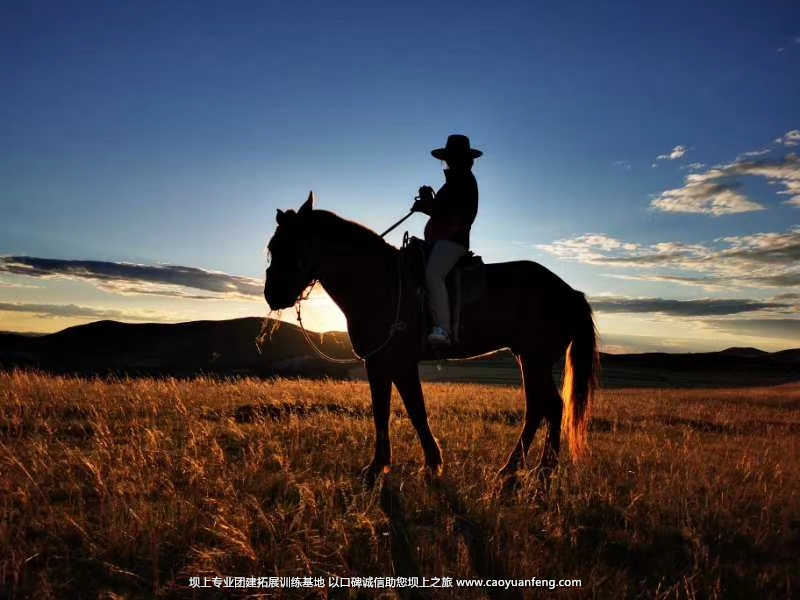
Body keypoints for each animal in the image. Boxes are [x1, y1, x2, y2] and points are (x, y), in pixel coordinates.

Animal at [266, 193, 596, 488]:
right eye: (272, 247)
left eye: (289, 245)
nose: (272, 295)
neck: (380, 282)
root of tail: (571, 293)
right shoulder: (385, 363)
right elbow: (395, 410)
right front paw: (402, 464)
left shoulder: (394, 361)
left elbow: (405, 410)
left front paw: (404, 466)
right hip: (527, 358)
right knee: (543, 408)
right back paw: (524, 469)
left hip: (535, 359)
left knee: (546, 407)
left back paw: (535, 469)